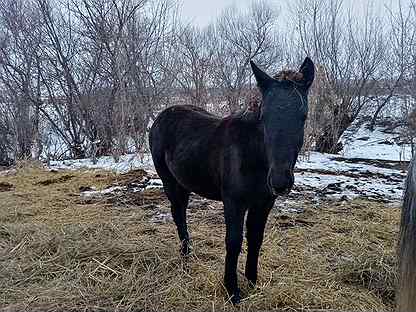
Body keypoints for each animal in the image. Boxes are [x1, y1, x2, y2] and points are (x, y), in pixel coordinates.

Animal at [148, 57, 314, 304]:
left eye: (303, 116)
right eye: (264, 117)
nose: (280, 181)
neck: (254, 156)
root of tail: (162, 115)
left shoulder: (264, 203)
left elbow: (255, 239)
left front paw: (252, 281)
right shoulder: (234, 202)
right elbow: (234, 242)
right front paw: (232, 291)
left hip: (183, 183)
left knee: (181, 213)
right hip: (169, 182)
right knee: (178, 214)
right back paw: (186, 256)